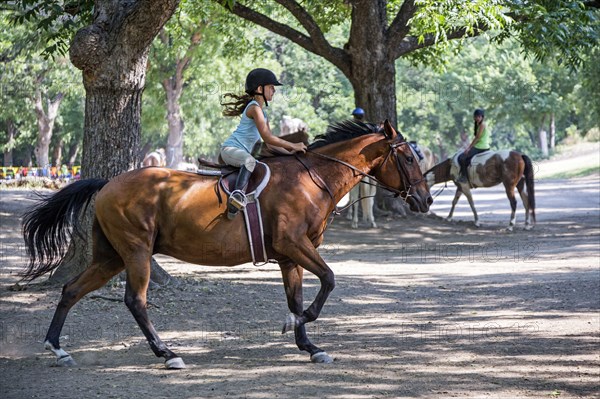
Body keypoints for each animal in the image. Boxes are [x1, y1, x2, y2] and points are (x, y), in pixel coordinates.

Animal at [19, 120, 432, 370]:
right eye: (408, 157)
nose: (426, 200)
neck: (312, 179)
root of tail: (108, 183)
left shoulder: (290, 257)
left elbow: (297, 297)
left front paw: (309, 345)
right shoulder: (294, 244)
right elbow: (328, 280)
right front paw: (299, 325)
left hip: (111, 256)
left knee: (72, 289)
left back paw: (57, 347)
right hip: (136, 251)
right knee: (135, 300)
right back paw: (167, 353)